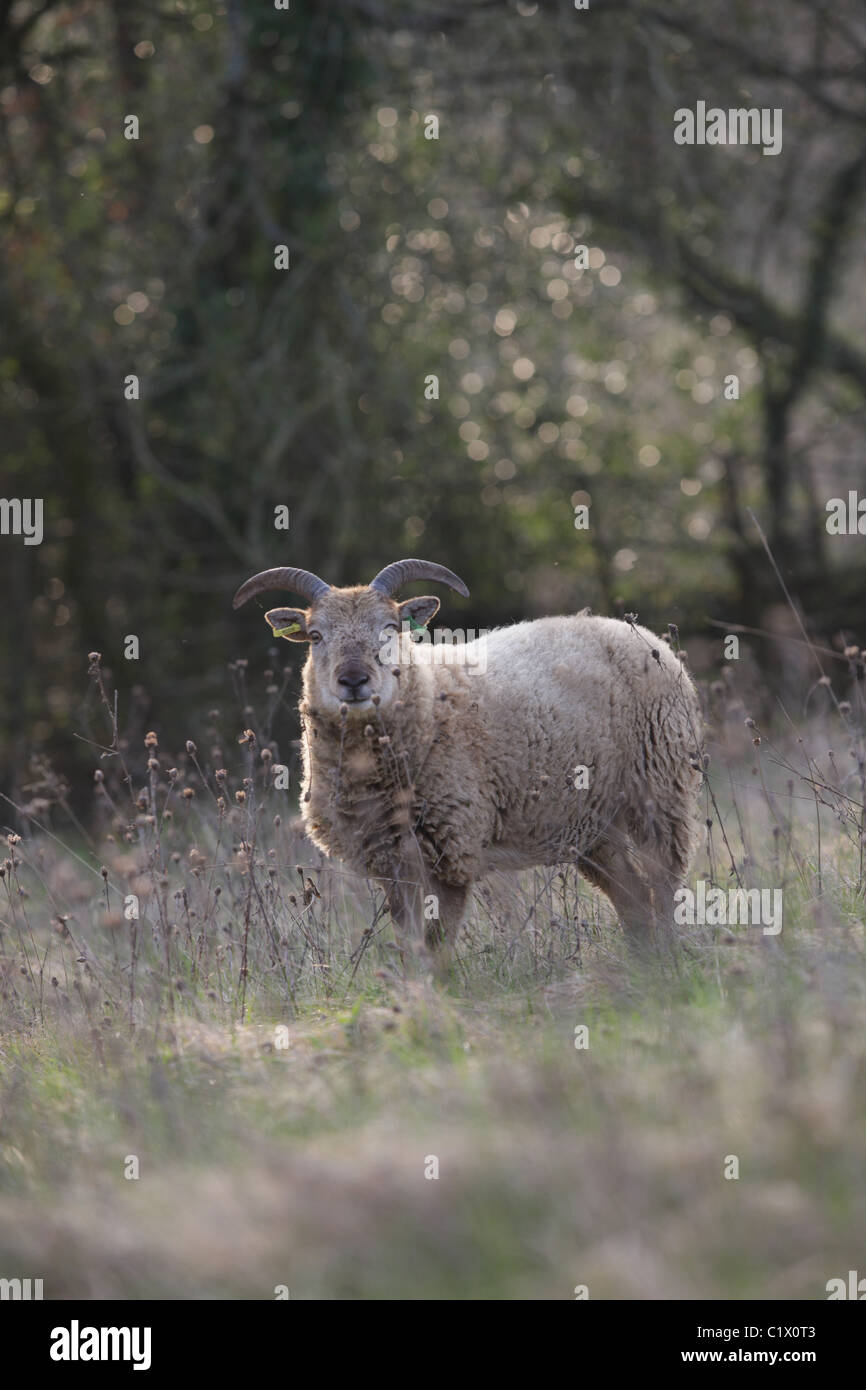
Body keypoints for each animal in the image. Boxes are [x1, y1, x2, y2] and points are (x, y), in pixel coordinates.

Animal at [232, 553, 706, 956]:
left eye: (391, 628)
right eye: (315, 636)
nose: (353, 681)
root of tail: (633, 631)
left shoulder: (451, 850)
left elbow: (438, 944)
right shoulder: (389, 860)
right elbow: (413, 942)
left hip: (659, 788)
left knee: (663, 884)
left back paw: (666, 960)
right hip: (590, 821)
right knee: (631, 895)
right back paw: (641, 962)